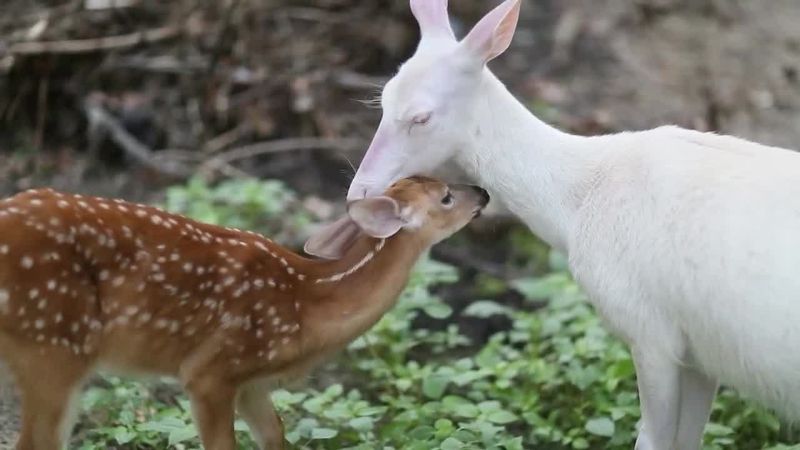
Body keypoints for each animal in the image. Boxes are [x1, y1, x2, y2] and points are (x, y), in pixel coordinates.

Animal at [0, 176, 489, 450]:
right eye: (446, 197)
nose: (483, 192)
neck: (307, 301)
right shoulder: (212, 370)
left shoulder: (253, 382)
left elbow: (275, 435)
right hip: (52, 343)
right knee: (36, 442)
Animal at [340, 0, 800, 449]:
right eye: (382, 100)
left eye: (421, 118)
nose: (358, 192)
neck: (577, 203)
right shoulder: (701, 351)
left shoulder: (649, 328)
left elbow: (652, 437)